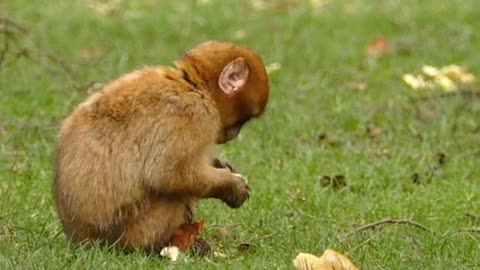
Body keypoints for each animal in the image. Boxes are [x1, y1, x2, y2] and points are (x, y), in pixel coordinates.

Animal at [53, 40, 270, 253]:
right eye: (244, 120)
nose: (235, 134)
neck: (193, 86)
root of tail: (80, 239)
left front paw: (221, 165)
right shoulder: (192, 114)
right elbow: (169, 175)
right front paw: (230, 186)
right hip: (134, 231)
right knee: (174, 194)